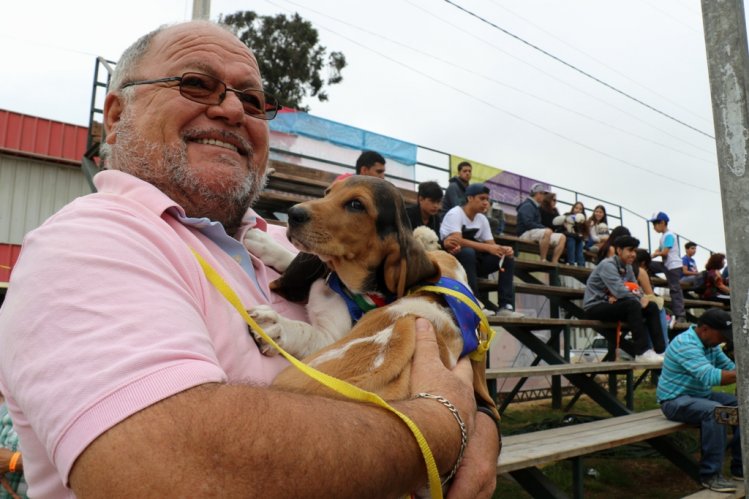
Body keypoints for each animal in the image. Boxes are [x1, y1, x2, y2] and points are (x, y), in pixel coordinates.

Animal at [245, 178, 500, 420]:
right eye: (328, 192)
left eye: (356, 204)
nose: (293, 214)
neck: (342, 283)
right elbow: (291, 257)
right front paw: (263, 242)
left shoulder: (331, 339)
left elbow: (304, 332)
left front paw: (275, 326)